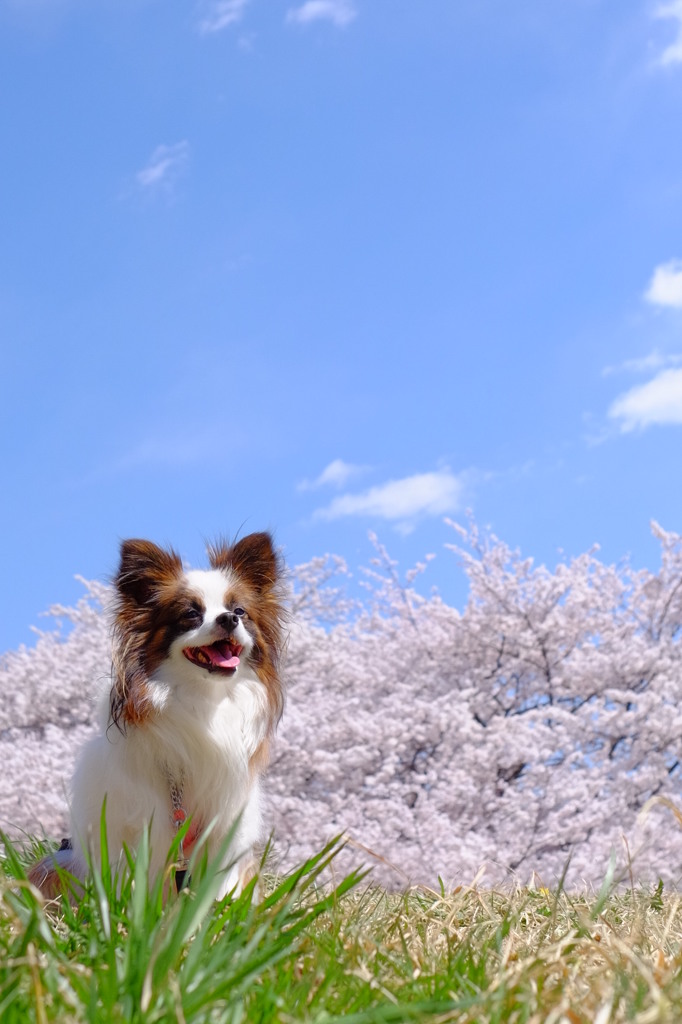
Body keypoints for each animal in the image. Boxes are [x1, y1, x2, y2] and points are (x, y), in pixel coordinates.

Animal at [28, 532, 284, 901]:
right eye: (191, 614)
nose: (228, 619)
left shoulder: (225, 830)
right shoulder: (133, 827)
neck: (203, 701)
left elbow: (219, 890)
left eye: (239, 611)